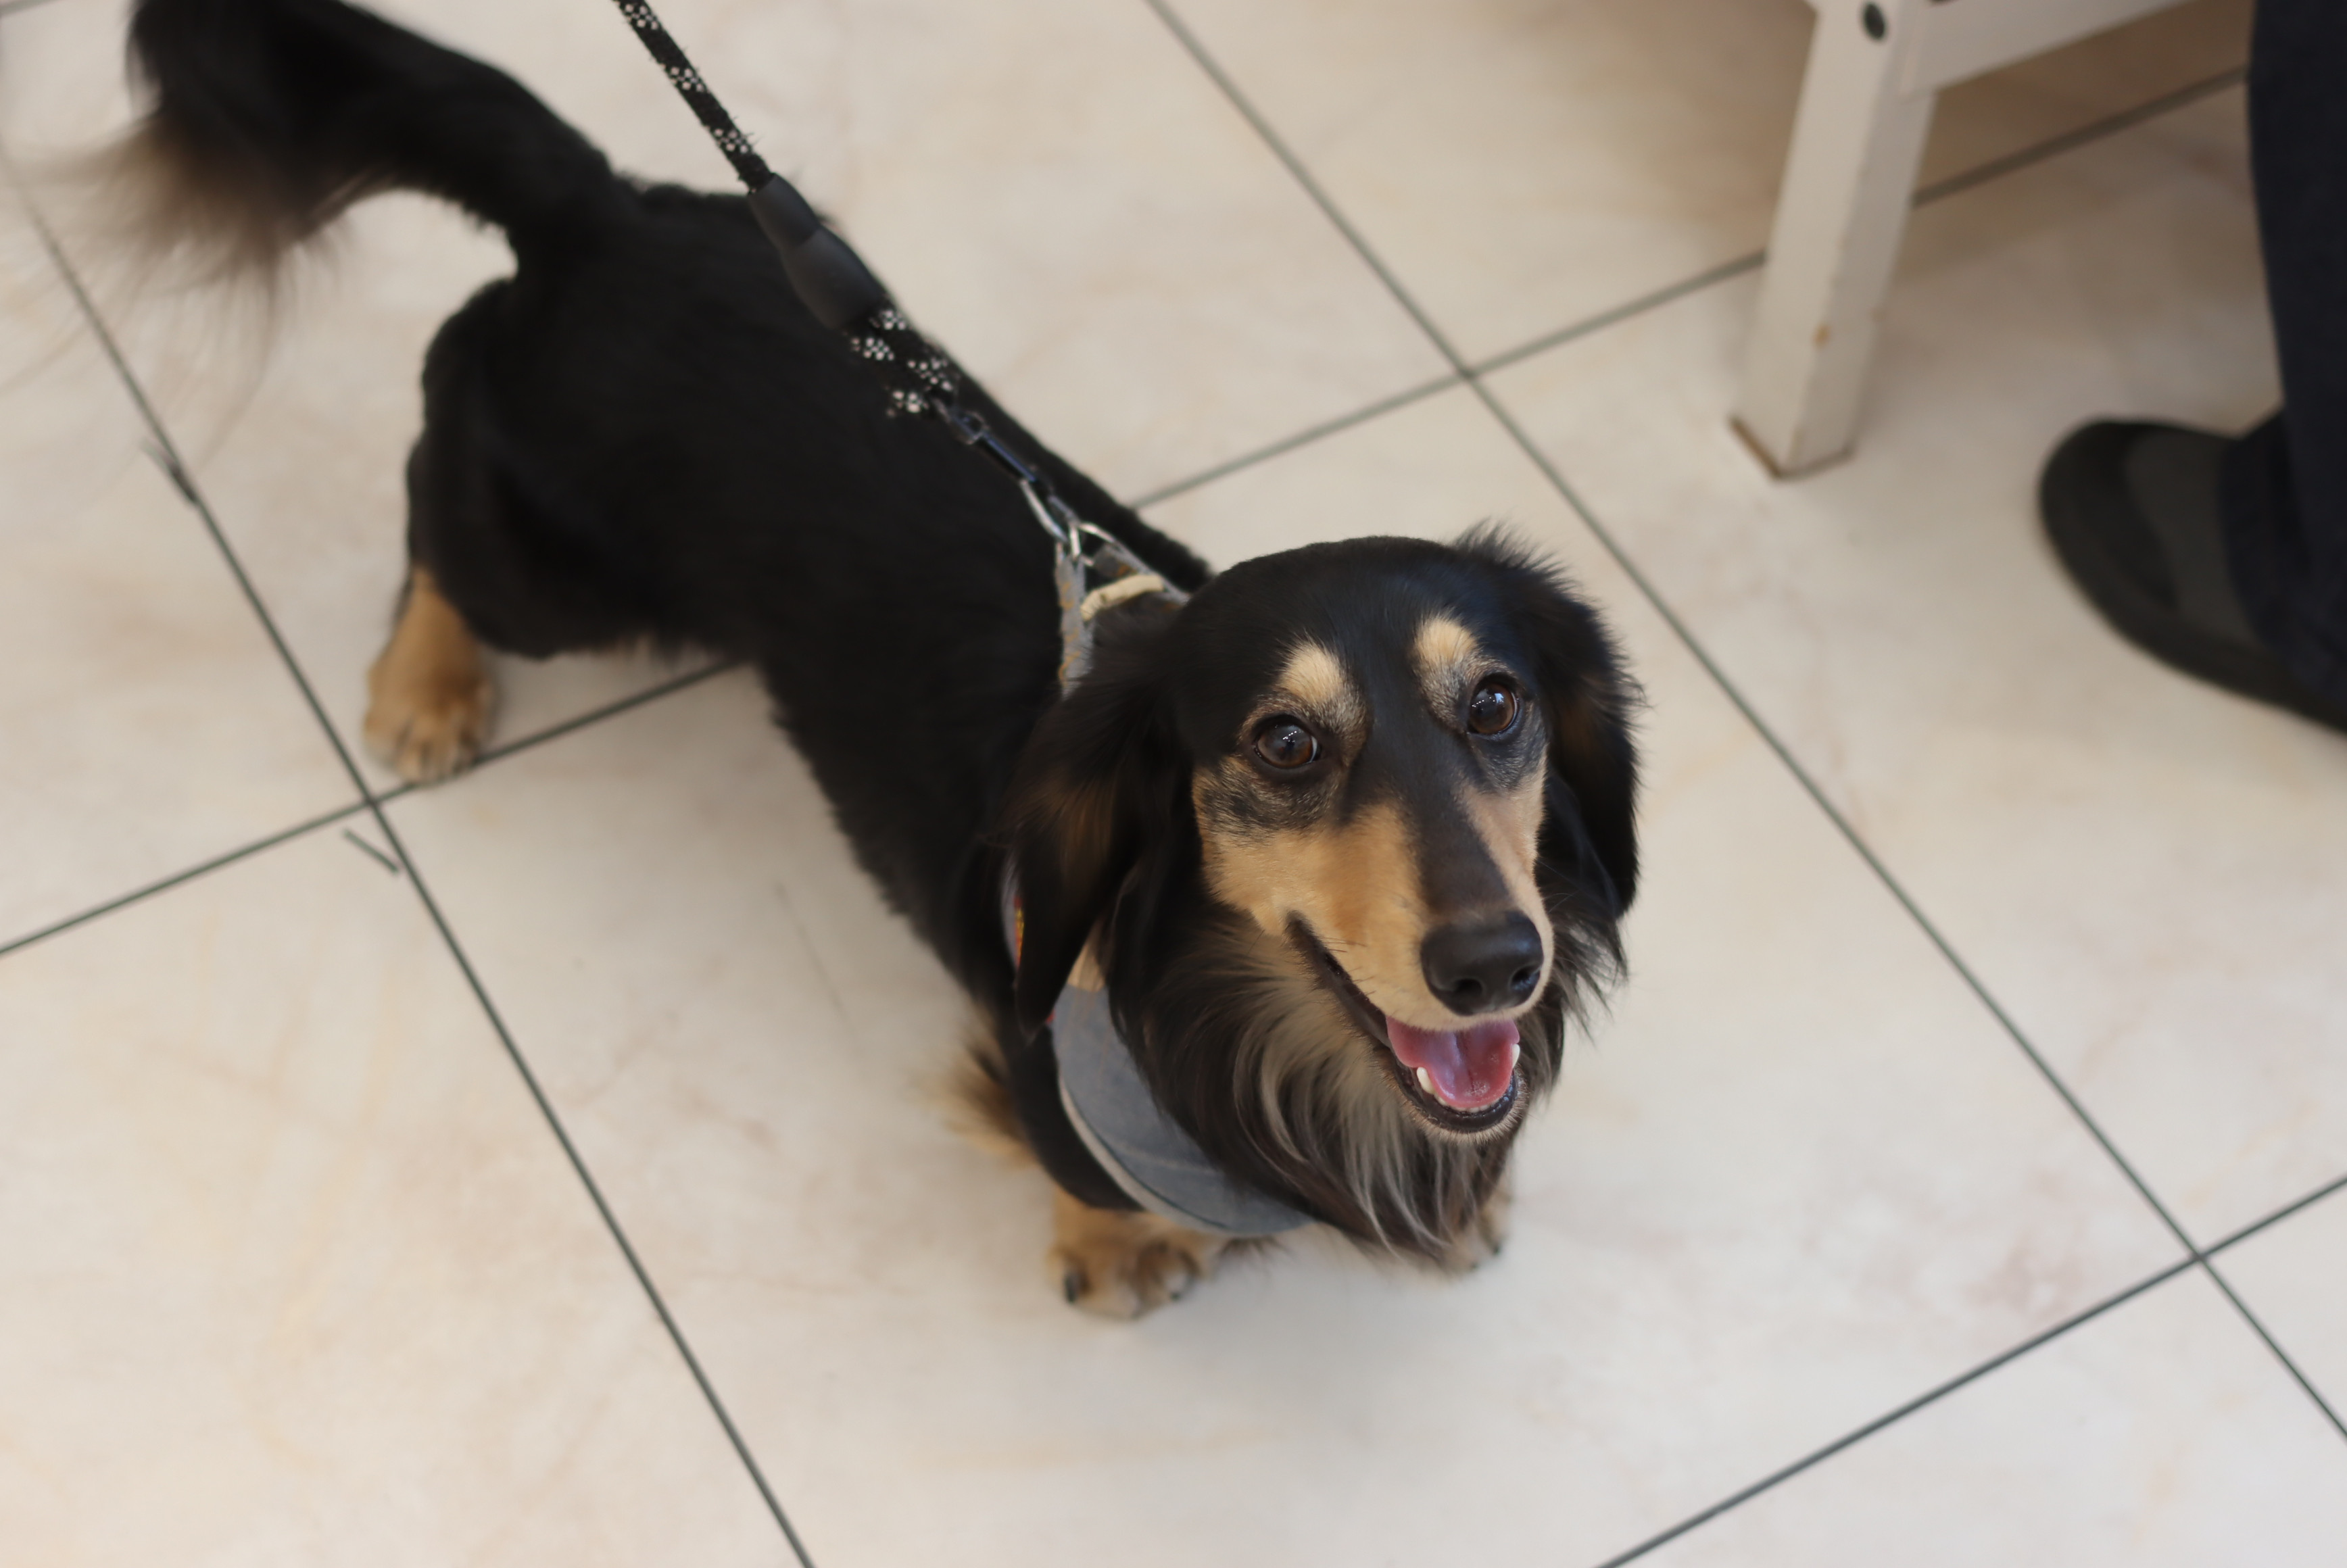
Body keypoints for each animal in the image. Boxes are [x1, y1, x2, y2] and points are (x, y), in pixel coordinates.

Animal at [117, 0, 1640, 1316]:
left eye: (1494, 703)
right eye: (1283, 742)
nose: (1494, 964)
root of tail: (600, 207)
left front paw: (1470, 1201)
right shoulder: (1050, 1066)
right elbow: (1084, 1171)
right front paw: (1120, 1250)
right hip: (556, 577)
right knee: (437, 504)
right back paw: (424, 686)